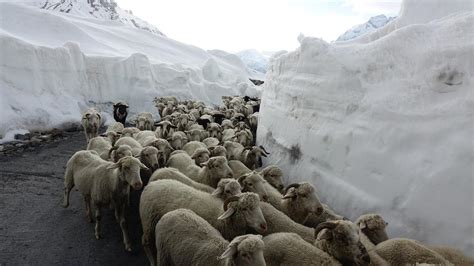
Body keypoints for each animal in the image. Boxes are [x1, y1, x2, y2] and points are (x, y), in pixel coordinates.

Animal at [139, 180, 268, 264]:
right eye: (244, 208)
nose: (264, 225)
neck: (223, 218)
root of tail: (151, 184)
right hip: (148, 222)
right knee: (145, 242)